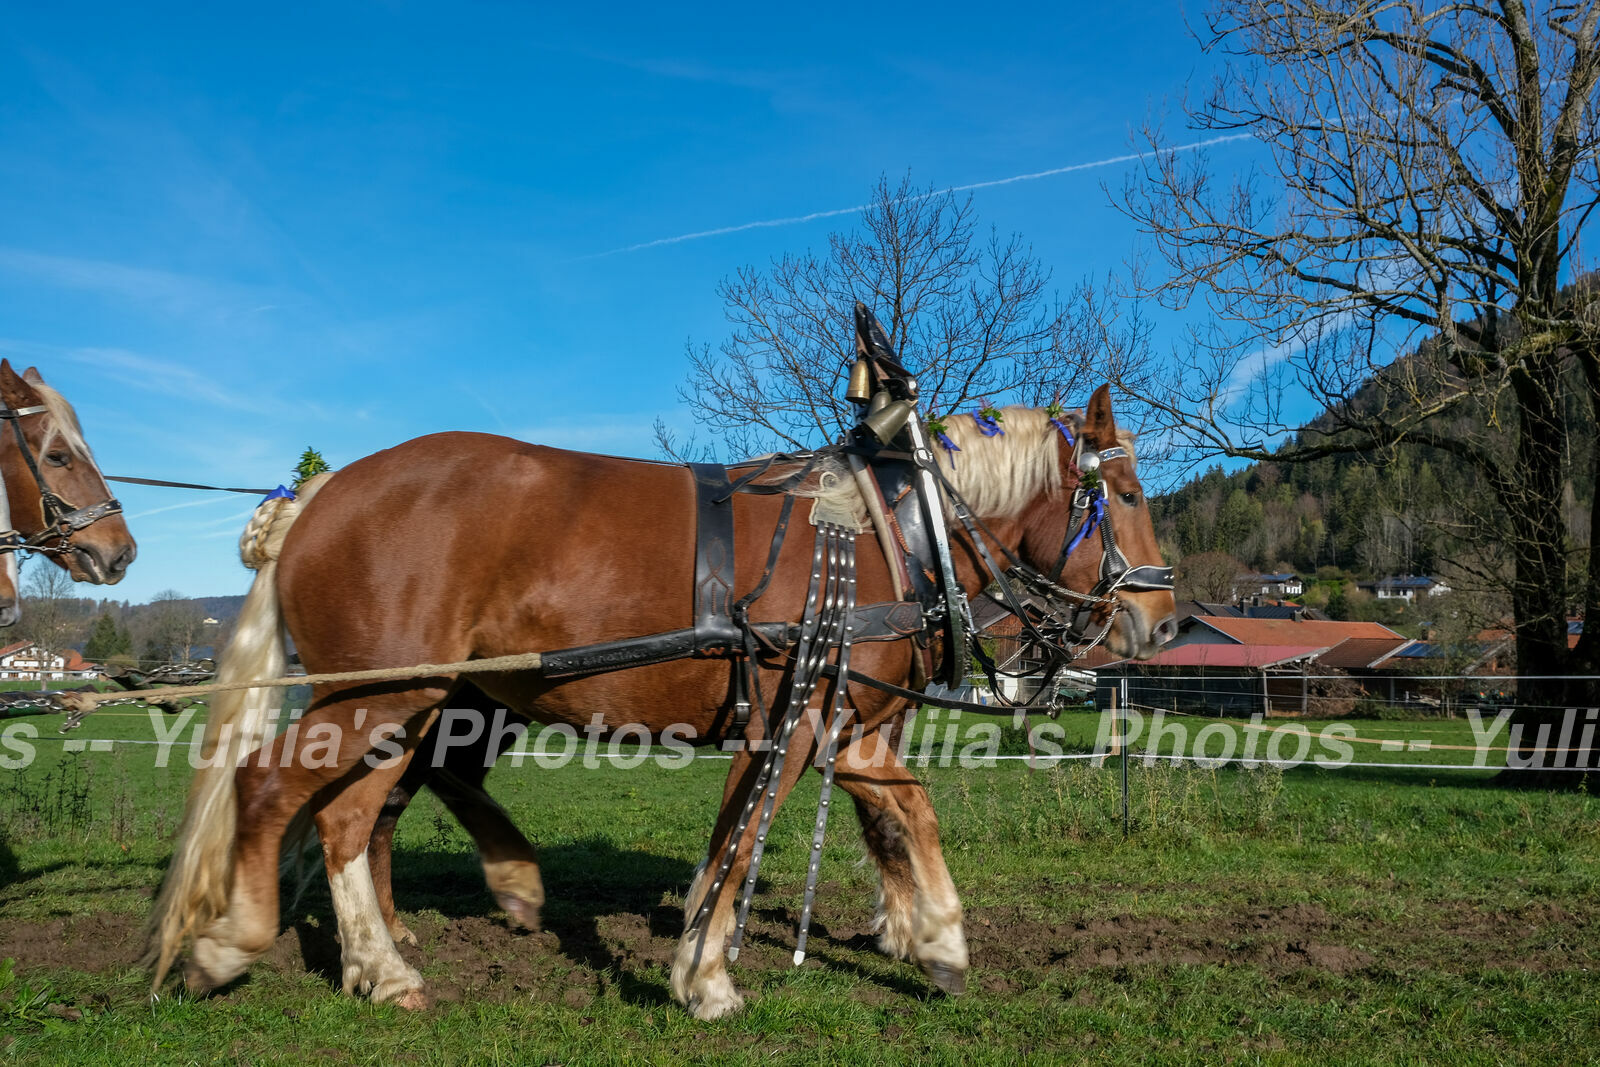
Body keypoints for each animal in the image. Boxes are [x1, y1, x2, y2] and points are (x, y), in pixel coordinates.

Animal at [147, 382, 1177, 1017]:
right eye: (1125, 492)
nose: (1163, 619)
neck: (886, 530)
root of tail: (320, 495)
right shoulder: (793, 722)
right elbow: (740, 843)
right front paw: (704, 977)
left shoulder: (845, 724)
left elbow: (904, 814)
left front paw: (940, 941)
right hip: (386, 696)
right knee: (274, 787)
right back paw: (236, 941)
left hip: (409, 700)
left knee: (353, 817)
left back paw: (385, 962)